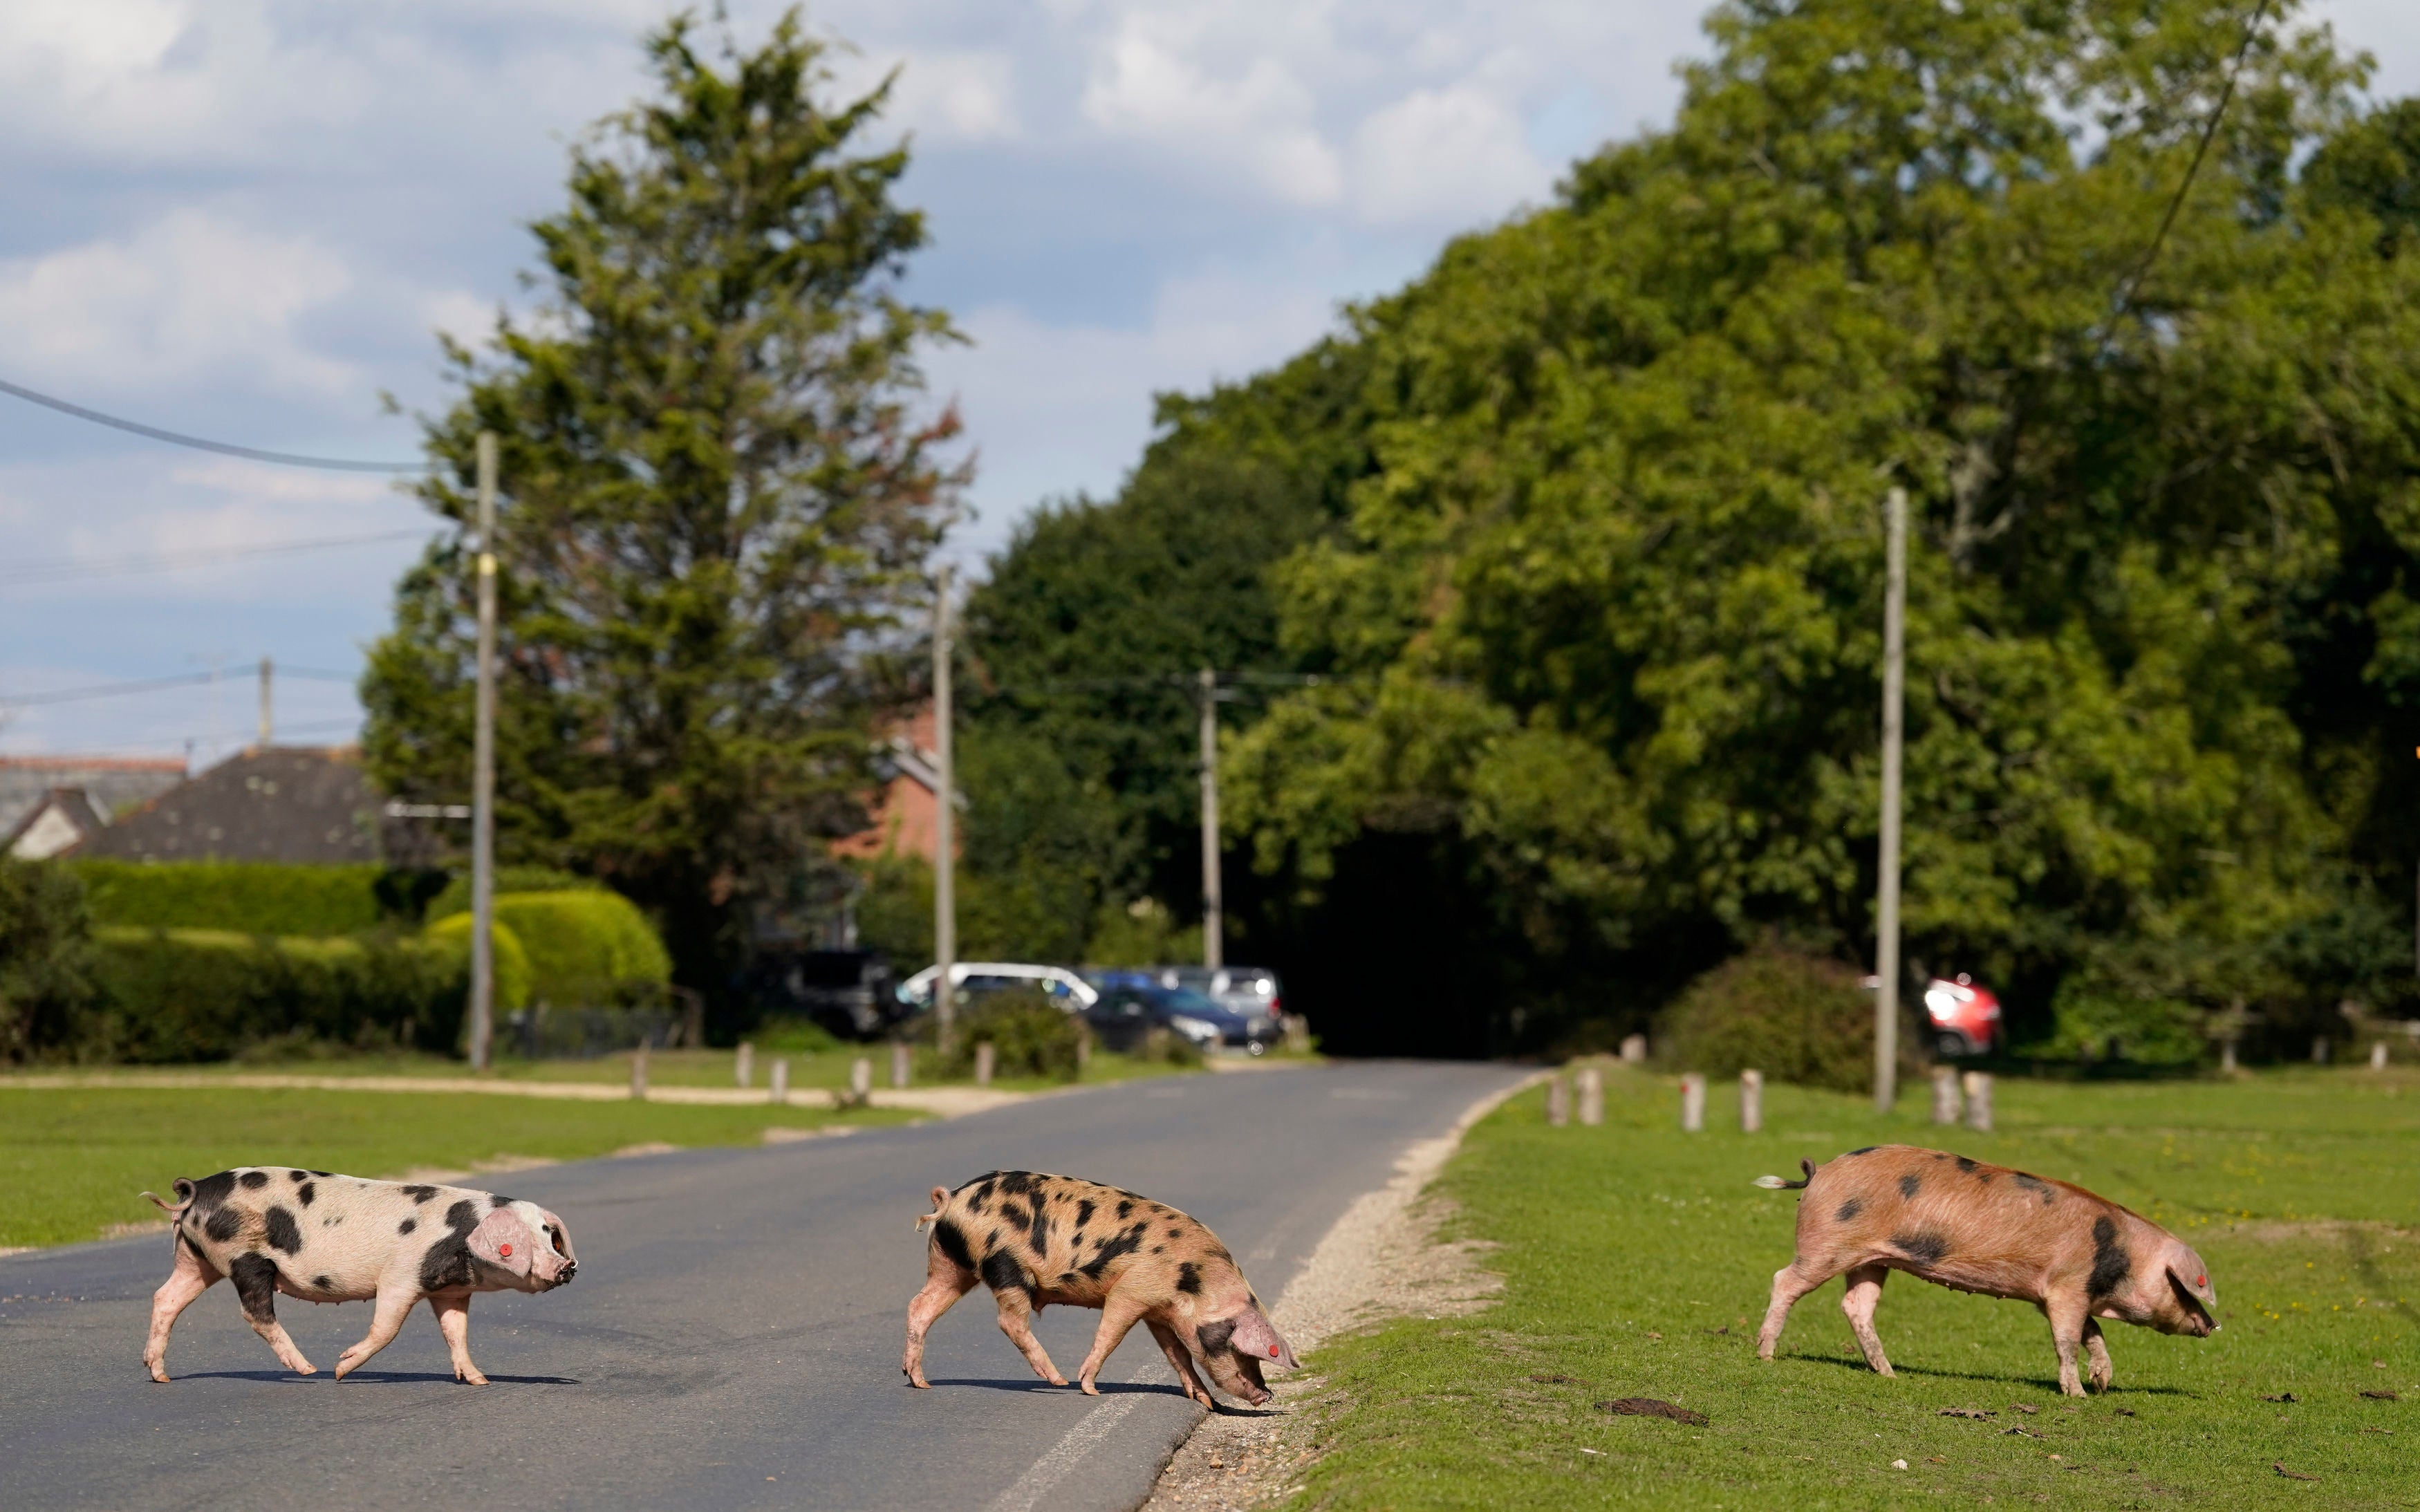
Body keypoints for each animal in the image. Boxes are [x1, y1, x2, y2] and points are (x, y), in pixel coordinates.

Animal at [142, 1161, 576, 1383]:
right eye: (526, 1240)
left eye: (550, 1235)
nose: (568, 1266)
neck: (462, 1240)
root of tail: (195, 1190)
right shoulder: (401, 1276)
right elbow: (387, 1329)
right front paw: (341, 1369)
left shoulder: (450, 1291)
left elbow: (457, 1333)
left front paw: (478, 1379)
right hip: (244, 1256)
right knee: (255, 1312)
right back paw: (309, 1370)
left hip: (195, 1259)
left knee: (166, 1298)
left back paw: (158, 1375)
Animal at [900, 1166, 1297, 1403]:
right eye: (1240, 1349)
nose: (1267, 1395)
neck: (1191, 1282)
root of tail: (952, 1201)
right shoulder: (1131, 1291)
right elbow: (1111, 1334)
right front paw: (1091, 1390)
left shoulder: (1159, 1313)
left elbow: (1178, 1355)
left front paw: (1206, 1402)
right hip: (1006, 1264)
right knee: (1009, 1321)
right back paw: (1060, 1383)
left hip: (951, 1265)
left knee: (920, 1305)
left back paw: (919, 1382)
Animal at [1752, 1141, 2217, 1393]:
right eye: (2184, 1286)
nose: (2212, 1325)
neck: (2120, 1256)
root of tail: (1819, 1174)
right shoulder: (2067, 1286)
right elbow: (2068, 1341)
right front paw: (2078, 1396)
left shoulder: (2060, 1294)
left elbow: (2092, 1333)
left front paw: (2102, 1383)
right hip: (1827, 1244)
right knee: (1783, 1280)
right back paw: (1765, 1356)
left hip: (1871, 1259)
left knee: (1856, 1306)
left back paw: (1889, 1374)